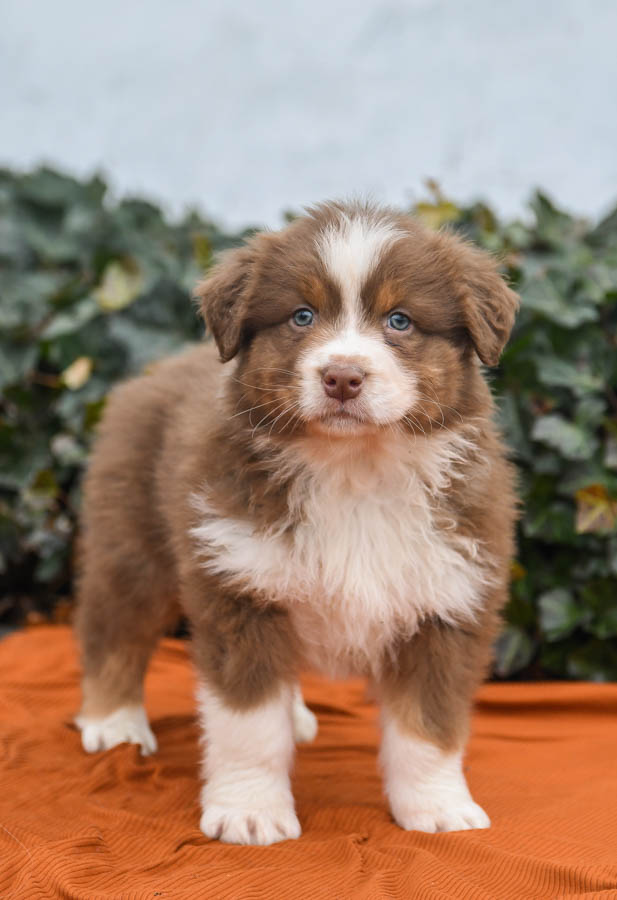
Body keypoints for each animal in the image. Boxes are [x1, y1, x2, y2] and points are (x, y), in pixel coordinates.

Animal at [77, 200, 520, 848]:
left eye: (401, 321)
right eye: (301, 316)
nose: (342, 377)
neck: (353, 471)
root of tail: (163, 365)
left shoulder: (449, 600)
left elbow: (428, 726)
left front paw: (438, 808)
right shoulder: (240, 587)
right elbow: (248, 725)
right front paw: (250, 812)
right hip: (131, 540)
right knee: (114, 628)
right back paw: (114, 724)